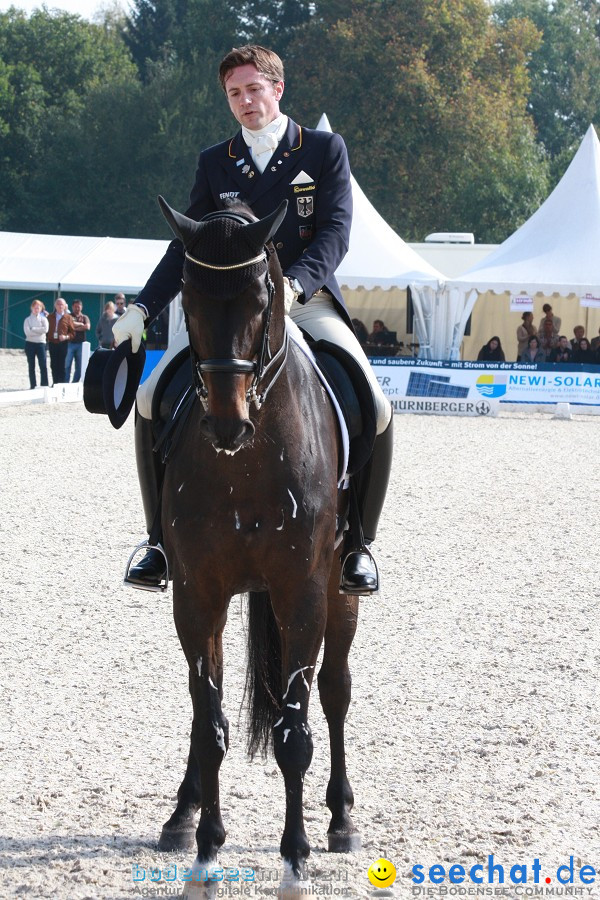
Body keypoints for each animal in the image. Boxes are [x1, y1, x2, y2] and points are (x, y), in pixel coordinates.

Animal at [156, 195, 360, 884]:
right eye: (187, 294)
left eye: (261, 296)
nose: (227, 423)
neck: (245, 462)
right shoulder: (196, 594)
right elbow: (207, 721)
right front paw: (207, 842)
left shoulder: (302, 591)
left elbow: (295, 732)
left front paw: (295, 852)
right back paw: (182, 813)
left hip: (340, 590)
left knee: (335, 691)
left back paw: (341, 817)